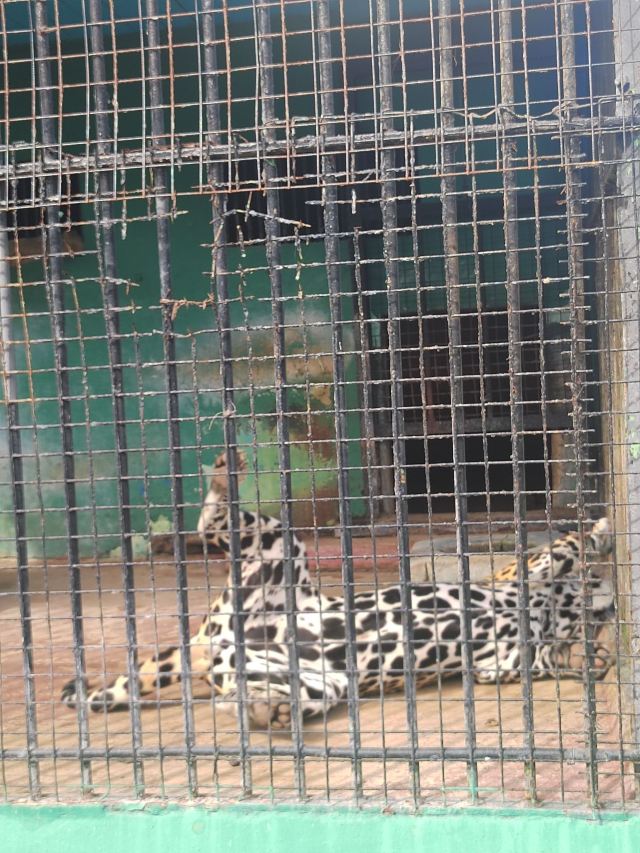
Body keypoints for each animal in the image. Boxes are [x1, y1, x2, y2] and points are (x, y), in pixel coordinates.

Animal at [61, 450, 615, 730]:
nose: (607, 611)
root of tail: (211, 639)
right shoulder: (521, 574)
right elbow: (561, 550)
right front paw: (600, 536)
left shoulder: (504, 660)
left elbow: (545, 655)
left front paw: (590, 654)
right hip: (279, 550)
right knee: (216, 521)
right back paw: (223, 478)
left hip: (317, 679)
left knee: (275, 693)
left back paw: (264, 709)